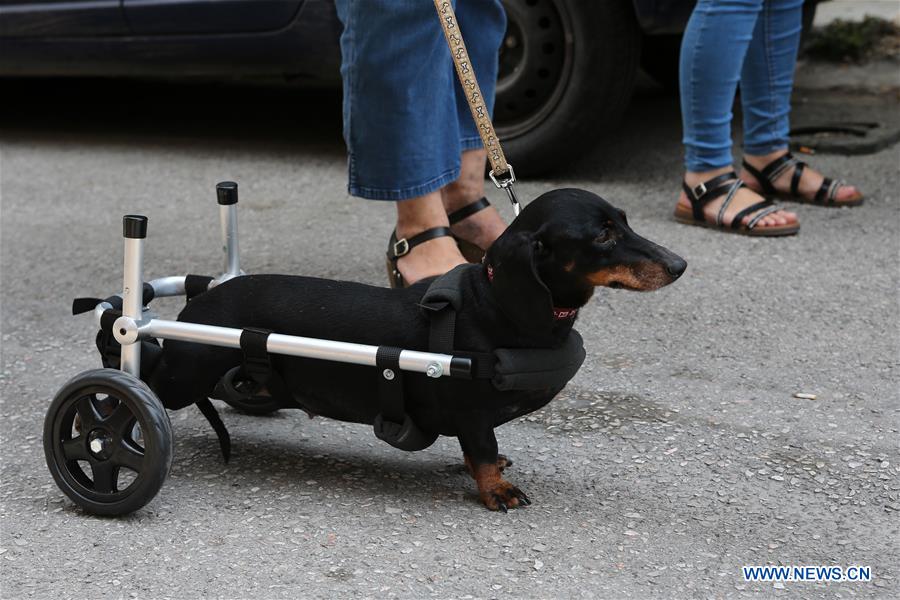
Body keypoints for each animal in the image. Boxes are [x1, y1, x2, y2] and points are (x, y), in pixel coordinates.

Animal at [148, 189, 684, 510]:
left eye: (624, 222)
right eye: (602, 235)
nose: (680, 265)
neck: (494, 304)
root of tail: (203, 299)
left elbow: (480, 450)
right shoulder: (472, 411)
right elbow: (484, 449)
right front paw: (496, 490)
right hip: (183, 373)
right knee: (143, 365)